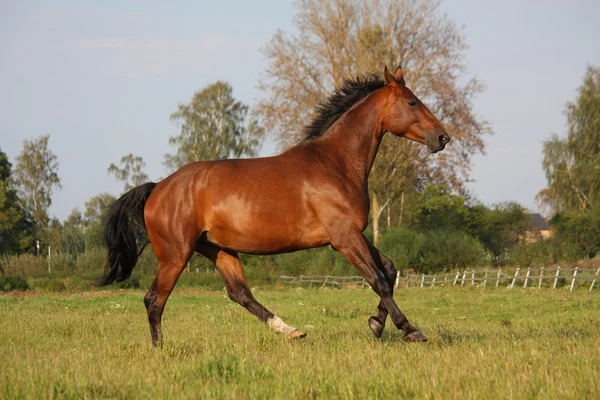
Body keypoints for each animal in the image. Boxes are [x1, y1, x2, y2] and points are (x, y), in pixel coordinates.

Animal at [101, 64, 448, 346]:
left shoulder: (352, 234)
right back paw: (160, 349)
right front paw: (409, 330)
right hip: (176, 255)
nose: (443, 138)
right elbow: (379, 281)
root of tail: (158, 187)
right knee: (154, 300)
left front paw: (376, 323)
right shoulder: (344, 238)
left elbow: (388, 270)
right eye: (412, 102)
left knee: (239, 293)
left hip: (217, 249)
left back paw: (291, 330)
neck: (336, 163)